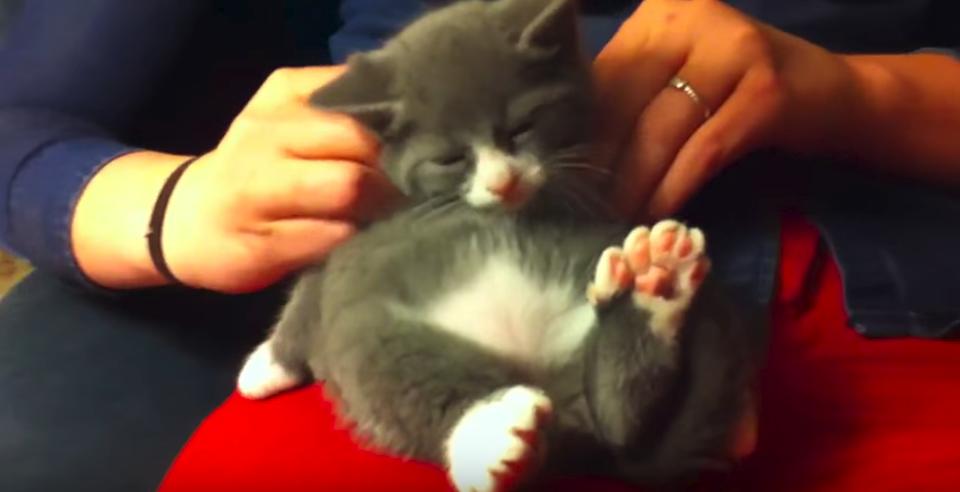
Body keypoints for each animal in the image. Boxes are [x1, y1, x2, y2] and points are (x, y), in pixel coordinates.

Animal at [238, 1, 756, 490]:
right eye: (450, 158)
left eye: (522, 128)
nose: (503, 182)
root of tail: (536, 373)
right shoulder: (351, 234)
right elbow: (307, 290)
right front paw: (266, 366)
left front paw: (263, 365)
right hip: (368, 329)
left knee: (616, 418)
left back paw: (653, 288)